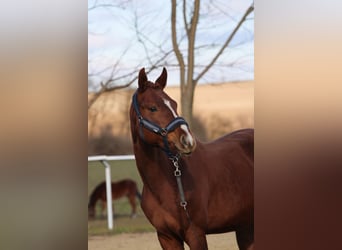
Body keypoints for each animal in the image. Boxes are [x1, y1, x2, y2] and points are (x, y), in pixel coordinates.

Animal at [130, 67, 254, 249]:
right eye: (152, 108)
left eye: (174, 104)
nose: (187, 140)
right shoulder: (166, 237)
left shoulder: (195, 233)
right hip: (245, 227)